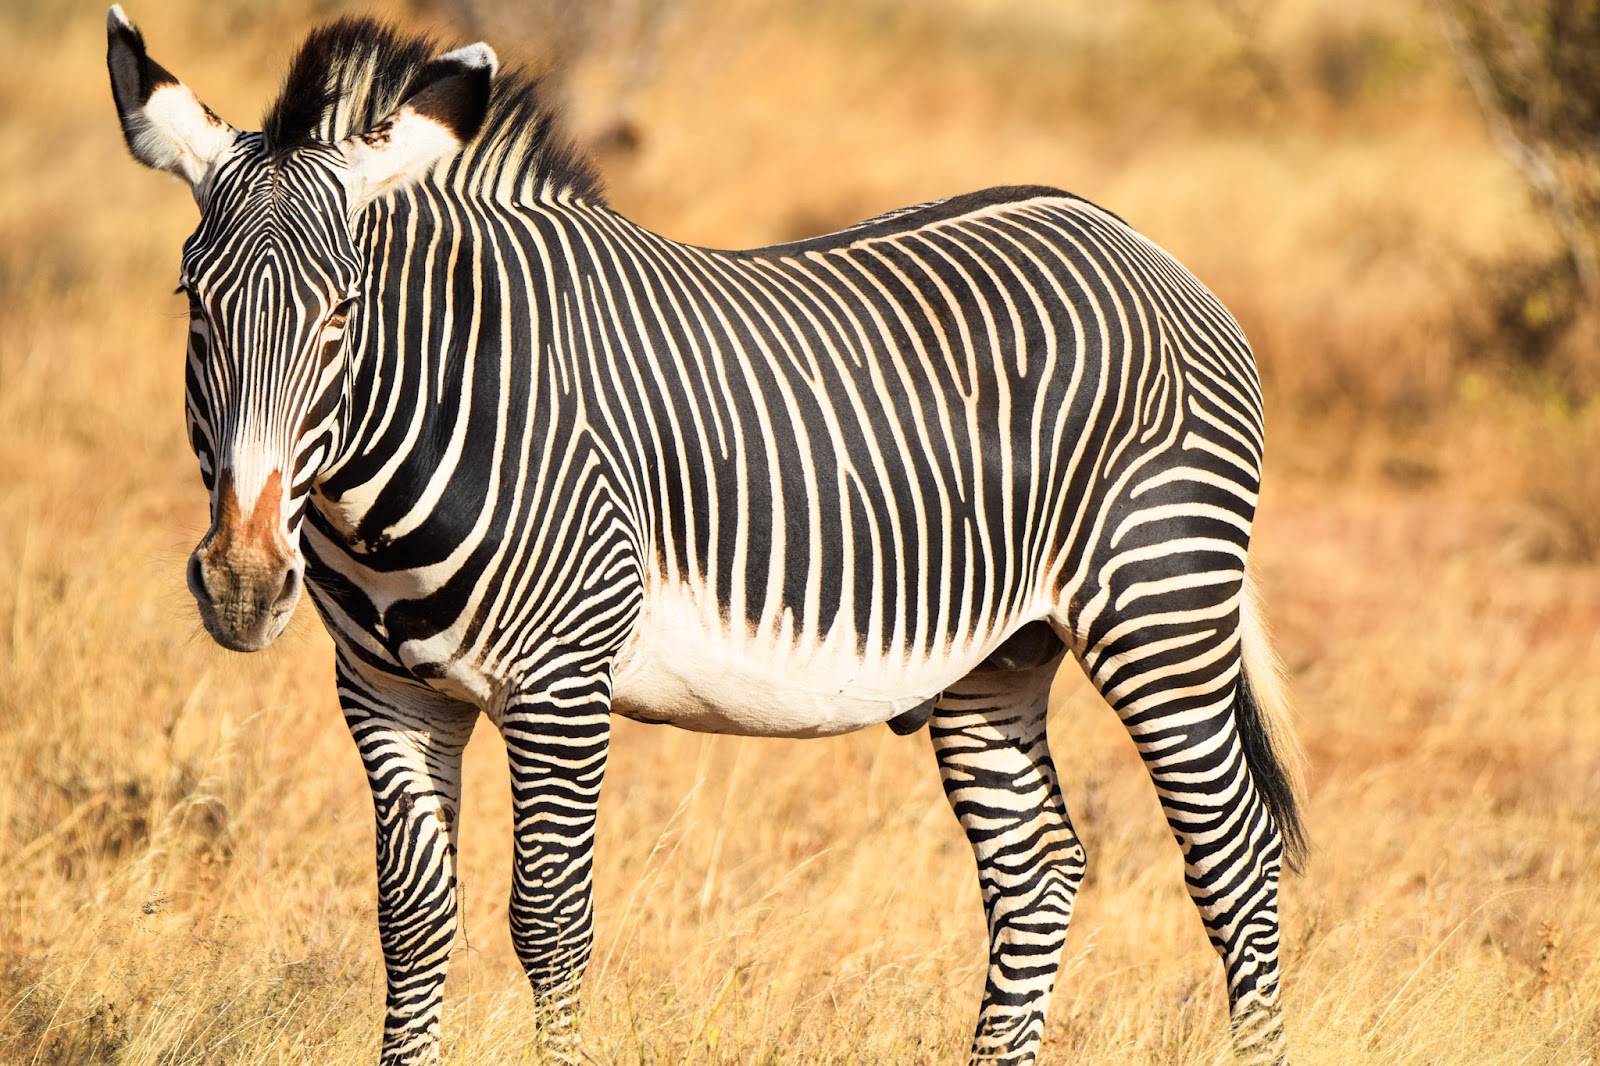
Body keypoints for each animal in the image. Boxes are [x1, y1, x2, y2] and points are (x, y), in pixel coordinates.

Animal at [107, 8, 1306, 1065]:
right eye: (192, 302)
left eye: (343, 315)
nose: (244, 583)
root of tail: (1129, 237)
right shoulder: (388, 691)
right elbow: (411, 921)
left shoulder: (560, 683)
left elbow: (550, 922)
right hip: (998, 655)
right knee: (1037, 867)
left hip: (1160, 611)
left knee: (1236, 867)